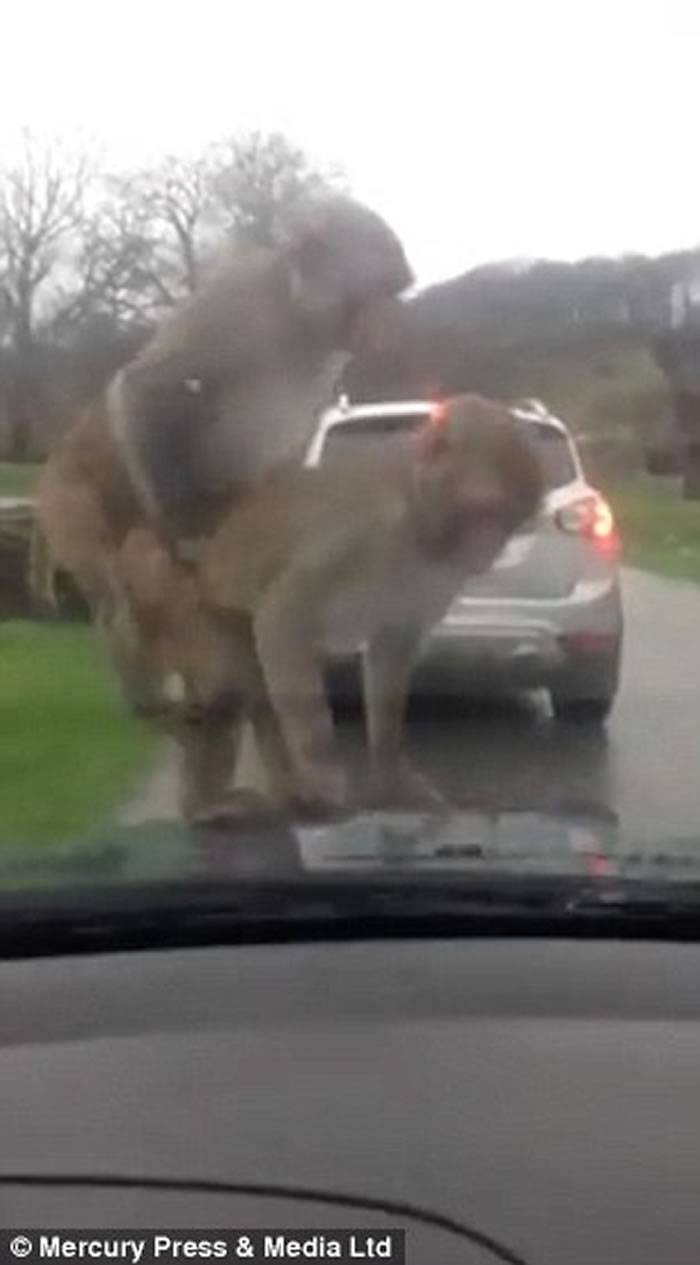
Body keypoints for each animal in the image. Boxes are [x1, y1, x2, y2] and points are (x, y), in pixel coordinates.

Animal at [112, 399, 544, 824]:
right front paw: (322, 771)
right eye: (482, 511)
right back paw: (220, 803)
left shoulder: (440, 578)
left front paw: (392, 780)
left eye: (509, 516)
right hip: (189, 610)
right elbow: (282, 618)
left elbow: (391, 649)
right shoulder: (359, 533)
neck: (419, 523)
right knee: (229, 684)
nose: (488, 548)